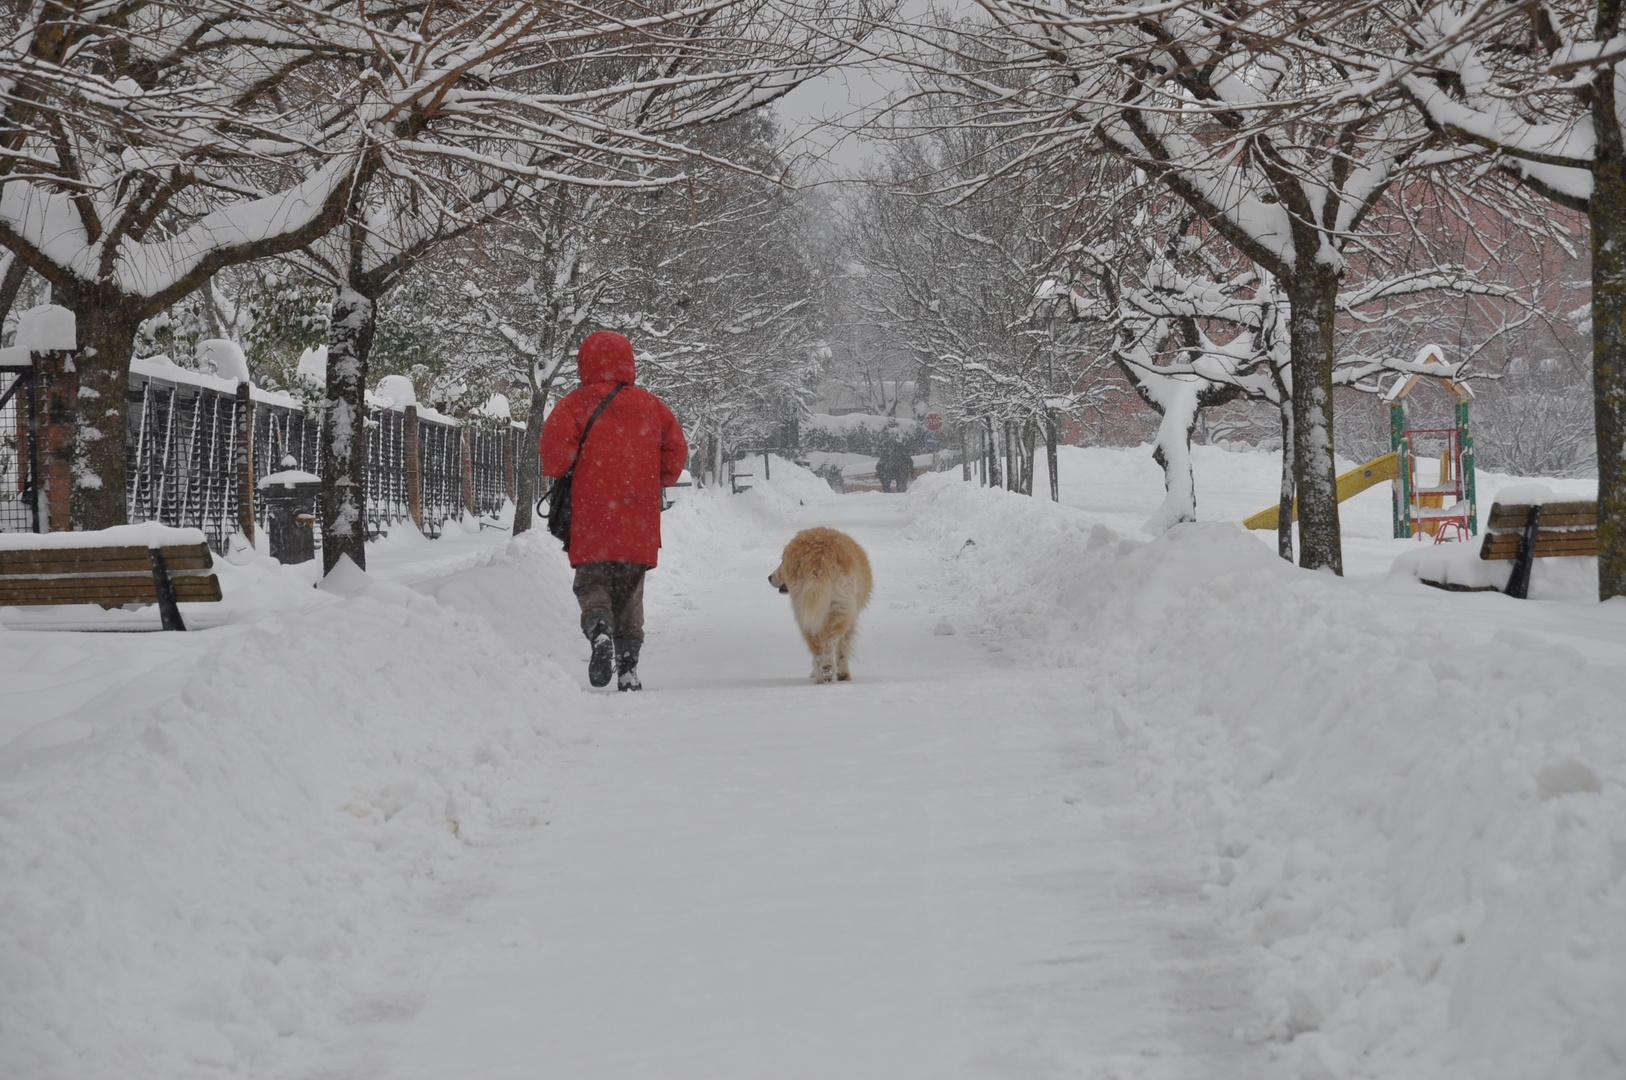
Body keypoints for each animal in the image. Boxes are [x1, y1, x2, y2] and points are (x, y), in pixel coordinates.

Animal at [767, 523, 871, 683]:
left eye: (782, 561)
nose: (769, 577)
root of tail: (819, 551)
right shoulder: (850, 619)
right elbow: (842, 648)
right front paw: (843, 674)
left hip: (805, 609)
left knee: (818, 646)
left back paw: (823, 673)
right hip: (840, 607)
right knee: (830, 640)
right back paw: (826, 671)